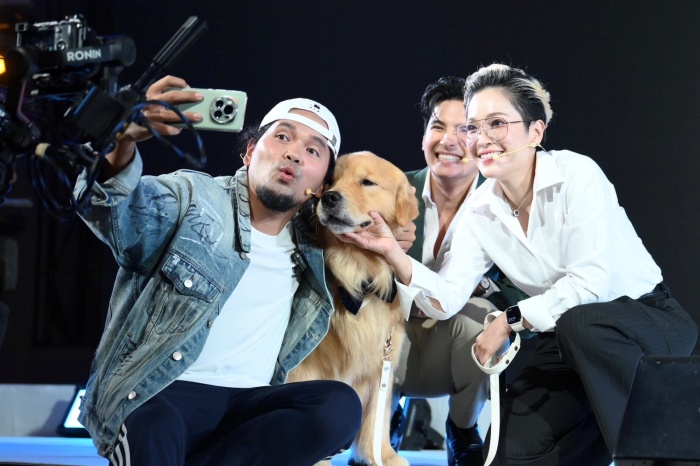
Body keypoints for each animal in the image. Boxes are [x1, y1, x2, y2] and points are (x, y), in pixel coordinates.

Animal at [287, 151, 419, 466]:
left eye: (367, 182)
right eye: (331, 182)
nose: (329, 198)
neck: (361, 274)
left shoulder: (382, 363)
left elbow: (376, 419)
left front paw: (381, 455)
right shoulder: (306, 366)